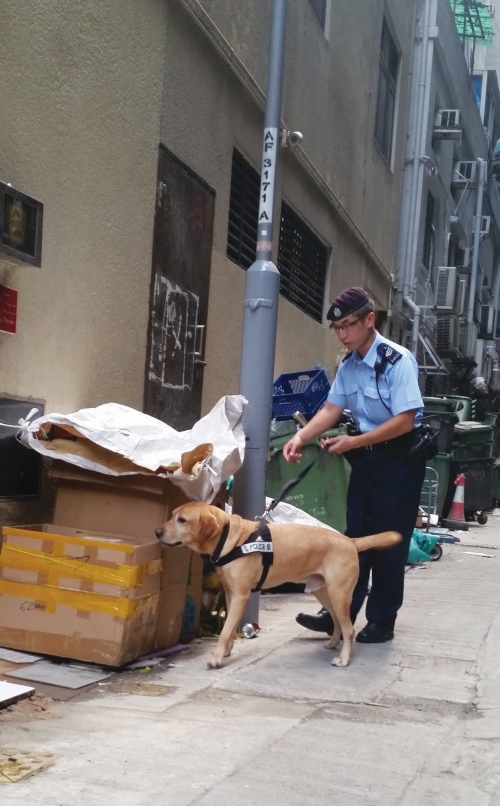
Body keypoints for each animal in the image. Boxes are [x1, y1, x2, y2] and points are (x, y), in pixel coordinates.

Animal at [154, 504, 400, 668]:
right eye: (173, 516)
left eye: (182, 520)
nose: (157, 532)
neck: (231, 539)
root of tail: (350, 541)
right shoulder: (232, 595)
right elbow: (230, 629)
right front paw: (226, 651)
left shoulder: (242, 596)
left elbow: (224, 631)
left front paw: (216, 656)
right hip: (325, 593)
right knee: (338, 622)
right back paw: (332, 642)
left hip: (339, 594)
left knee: (350, 629)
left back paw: (344, 658)